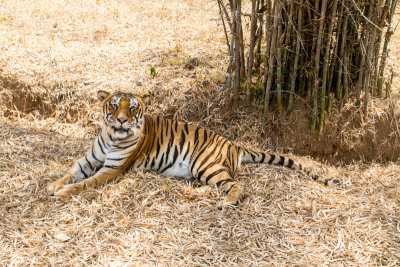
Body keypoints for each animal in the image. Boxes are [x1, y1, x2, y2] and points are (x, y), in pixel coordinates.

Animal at [47, 90, 338, 207]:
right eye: (114, 105)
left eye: (132, 108)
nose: (120, 120)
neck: (111, 137)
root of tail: (235, 144)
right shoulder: (89, 159)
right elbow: (70, 172)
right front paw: (52, 185)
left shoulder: (111, 169)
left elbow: (85, 184)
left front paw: (62, 193)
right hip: (204, 171)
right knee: (218, 185)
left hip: (205, 164)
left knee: (236, 185)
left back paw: (227, 203)